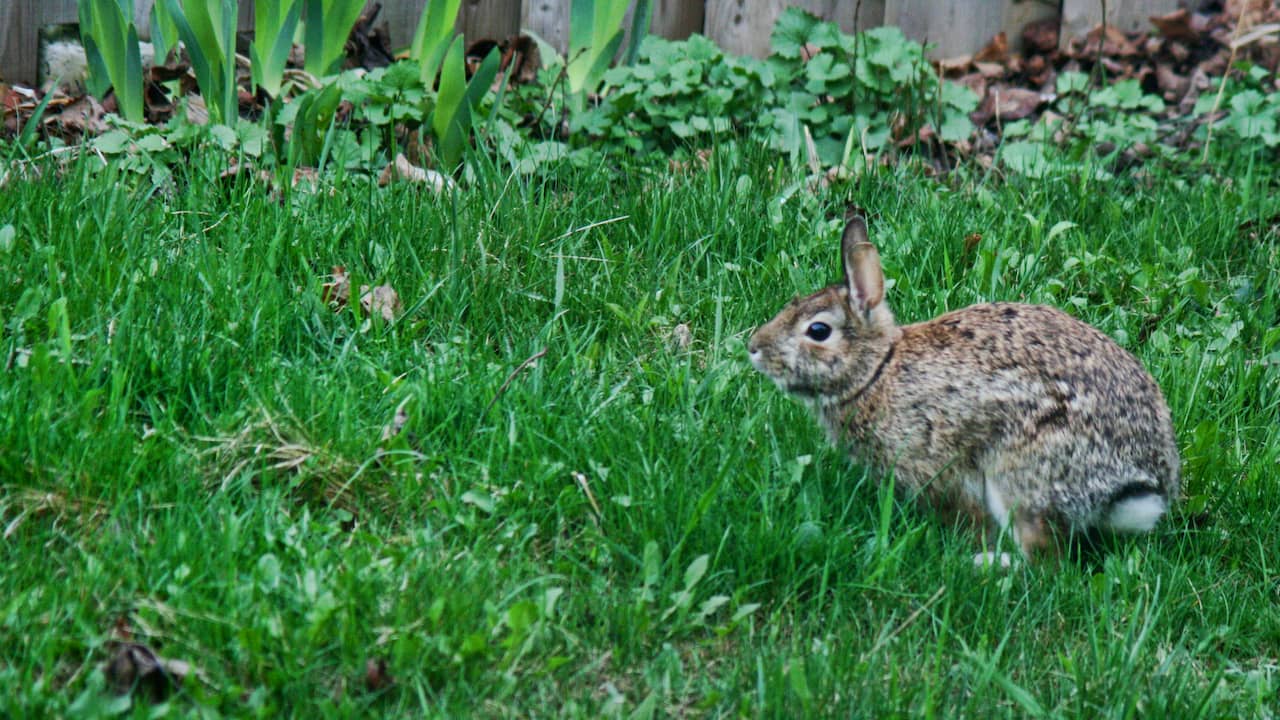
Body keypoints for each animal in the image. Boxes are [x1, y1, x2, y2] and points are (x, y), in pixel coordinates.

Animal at [747, 215, 1182, 563]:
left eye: (818, 331)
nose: (754, 347)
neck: (878, 370)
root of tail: (1140, 483)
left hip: (1019, 477)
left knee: (1043, 560)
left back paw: (985, 566)